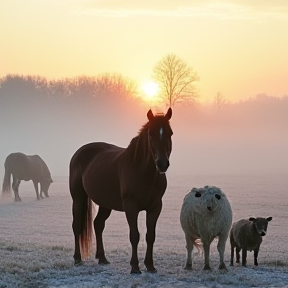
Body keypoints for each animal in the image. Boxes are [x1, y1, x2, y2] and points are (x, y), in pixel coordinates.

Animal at [69, 107, 173, 272]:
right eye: (151, 133)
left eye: (170, 133)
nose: (162, 164)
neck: (142, 171)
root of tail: (79, 153)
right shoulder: (131, 206)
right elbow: (134, 236)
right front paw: (135, 267)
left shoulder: (155, 207)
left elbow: (150, 236)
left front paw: (150, 265)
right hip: (78, 198)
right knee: (77, 226)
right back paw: (78, 259)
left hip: (105, 203)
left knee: (98, 224)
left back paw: (102, 258)